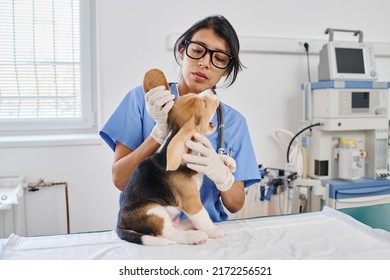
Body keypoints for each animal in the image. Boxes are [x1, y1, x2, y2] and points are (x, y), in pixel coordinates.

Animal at [116, 69, 225, 245]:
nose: (213, 90)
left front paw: (224, 163)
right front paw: (214, 231)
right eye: (203, 103)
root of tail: (120, 225)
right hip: (154, 210)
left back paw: (187, 225)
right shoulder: (191, 200)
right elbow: (203, 216)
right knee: (168, 234)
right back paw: (193, 236)